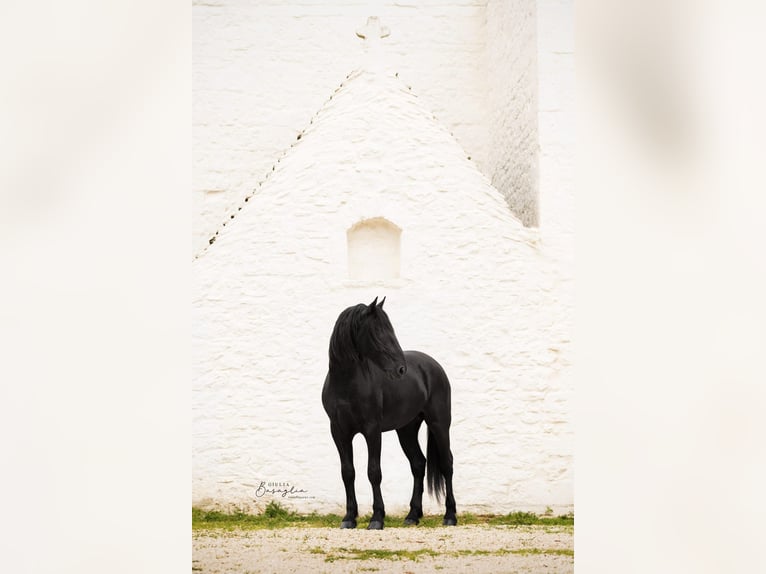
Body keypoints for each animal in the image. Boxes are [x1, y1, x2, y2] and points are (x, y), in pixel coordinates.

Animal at [321, 296, 457, 530]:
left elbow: (374, 472)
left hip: (439, 423)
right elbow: (348, 472)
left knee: (447, 463)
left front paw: (377, 518)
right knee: (418, 464)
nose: (401, 369)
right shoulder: (339, 432)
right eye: (376, 332)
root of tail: (432, 365)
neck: (346, 385)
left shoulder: (372, 430)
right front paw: (349, 518)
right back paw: (412, 516)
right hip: (406, 429)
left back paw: (450, 516)